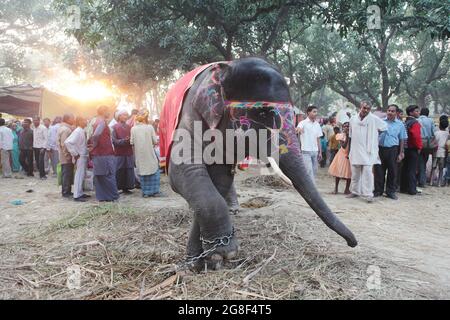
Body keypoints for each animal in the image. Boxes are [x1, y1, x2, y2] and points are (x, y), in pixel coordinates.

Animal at [160, 58, 356, 270]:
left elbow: (219, 180)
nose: (352, 243)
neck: (227, 69)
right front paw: (222, 254)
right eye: (263, 113)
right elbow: (182, 172)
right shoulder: (190, 115)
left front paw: (204, 261)